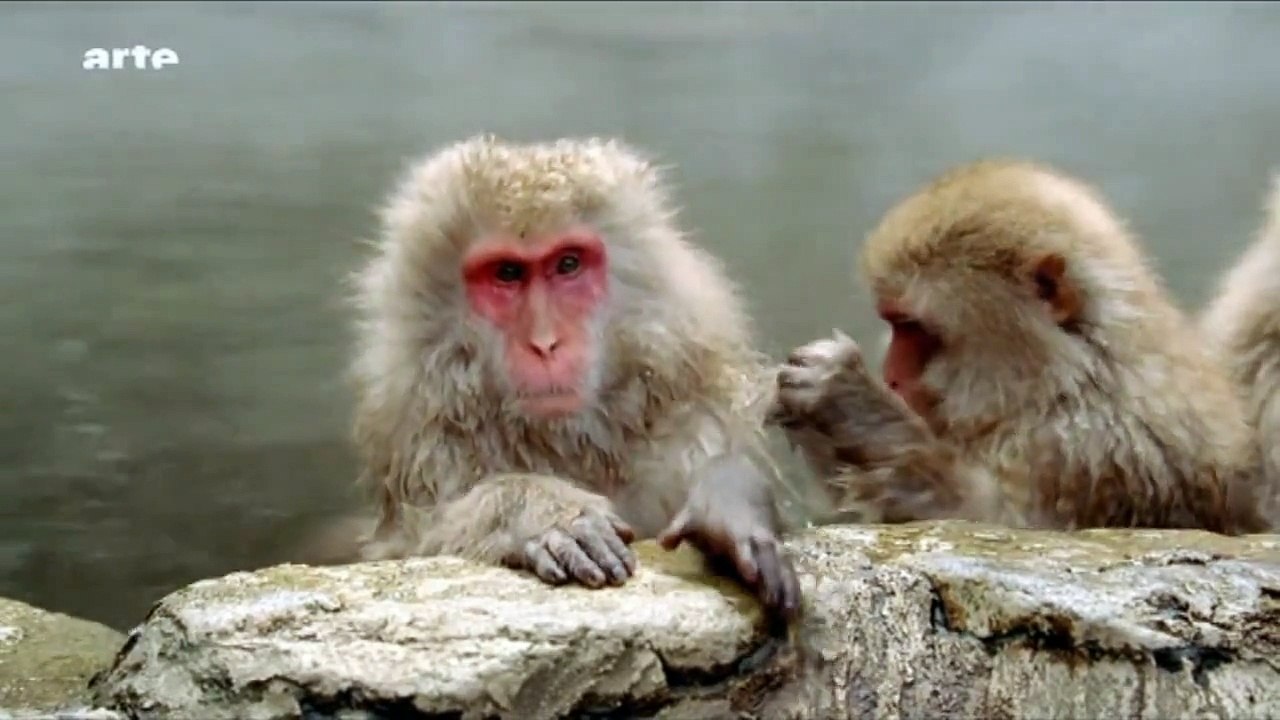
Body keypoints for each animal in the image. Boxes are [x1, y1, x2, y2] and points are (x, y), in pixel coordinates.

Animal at [346, 135, 801, 620]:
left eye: (568, 264)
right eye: (507, 273)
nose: (545, 343)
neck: (570, 441)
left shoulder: (689, 422)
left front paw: (726, 502)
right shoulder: (430, 442)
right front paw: (540, 513)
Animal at [770, 159, 1274, 535]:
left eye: (913, 328)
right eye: (895, 324)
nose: (892, 376)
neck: (1063, 380)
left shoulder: (1095, 451)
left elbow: (998, 520)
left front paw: (851, 402)